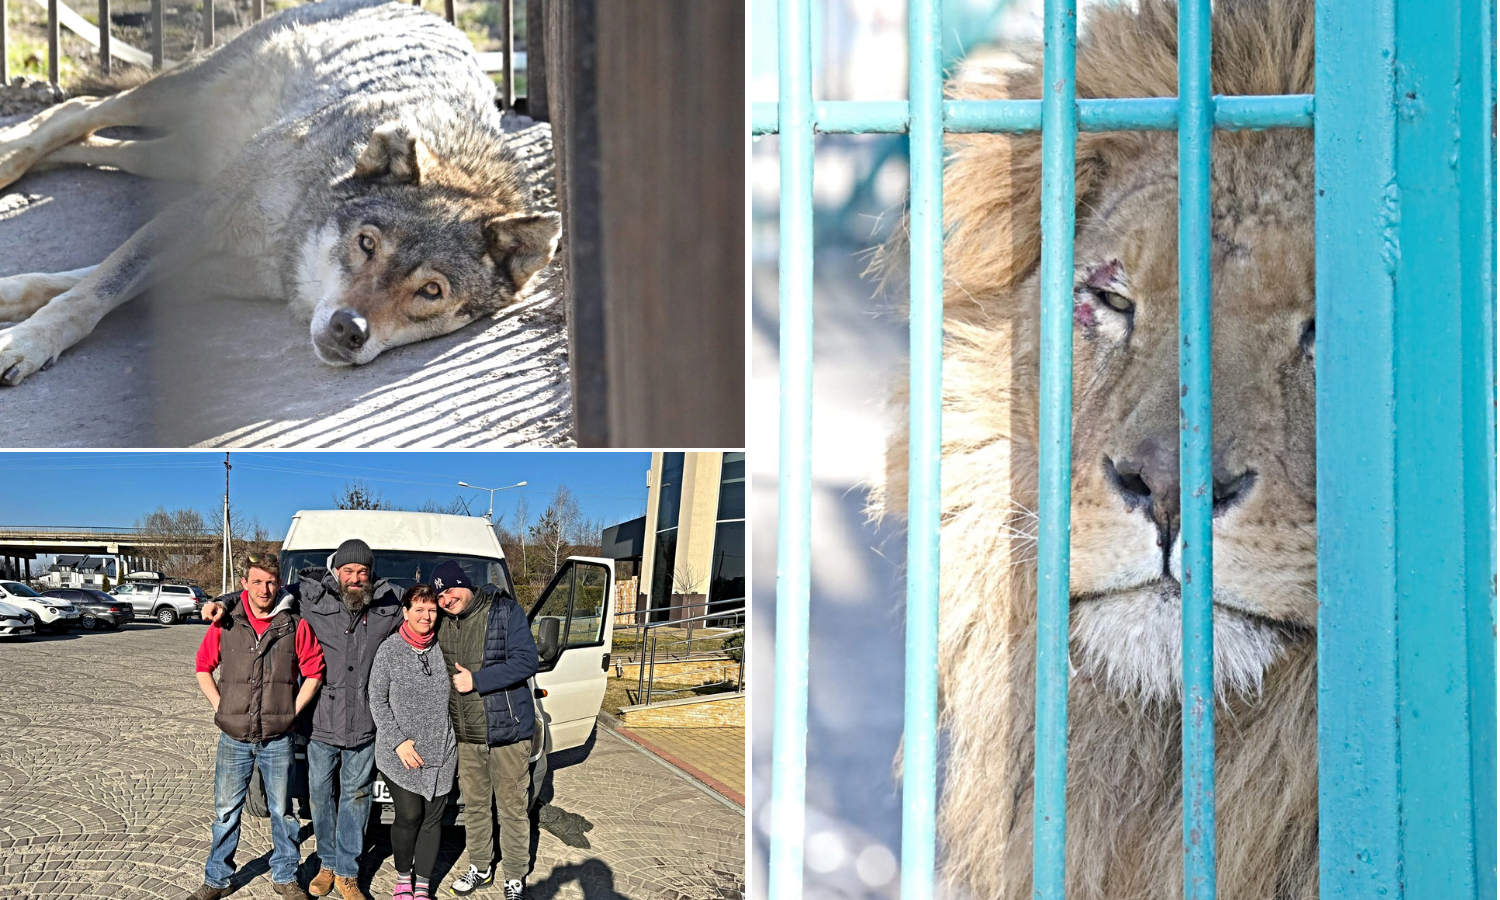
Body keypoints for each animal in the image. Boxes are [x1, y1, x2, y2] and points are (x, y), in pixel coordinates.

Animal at [0, 0, 558, 384]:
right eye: (367, 244)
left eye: (431, 291)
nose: (349, 329)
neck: (289, 239)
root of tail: (429, 14)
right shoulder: (197, 214)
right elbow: (93, 289)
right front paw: (25, 341)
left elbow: (86, 279)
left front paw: (15, 298)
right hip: (174, 96)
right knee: (80, 109)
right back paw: (9, 158)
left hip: (180, 153)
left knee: (98, 142)